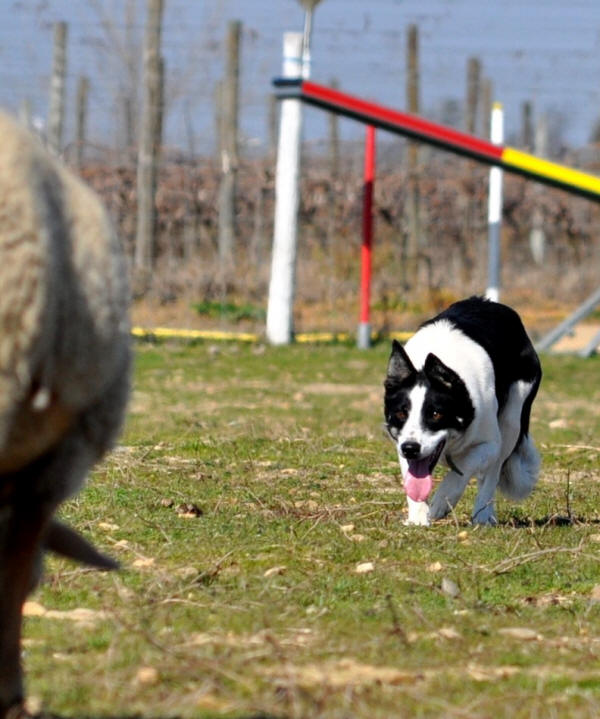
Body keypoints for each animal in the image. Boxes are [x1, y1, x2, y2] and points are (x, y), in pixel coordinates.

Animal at [384, 296, 544, 524]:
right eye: (400, 413)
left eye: (436, 414)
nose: (410, 448)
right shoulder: (401, 442)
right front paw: (418, 518)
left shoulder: (489, 444)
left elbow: (465, 465)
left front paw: (443, 500)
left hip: (512, 420)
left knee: (492, 472)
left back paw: (483, 515)